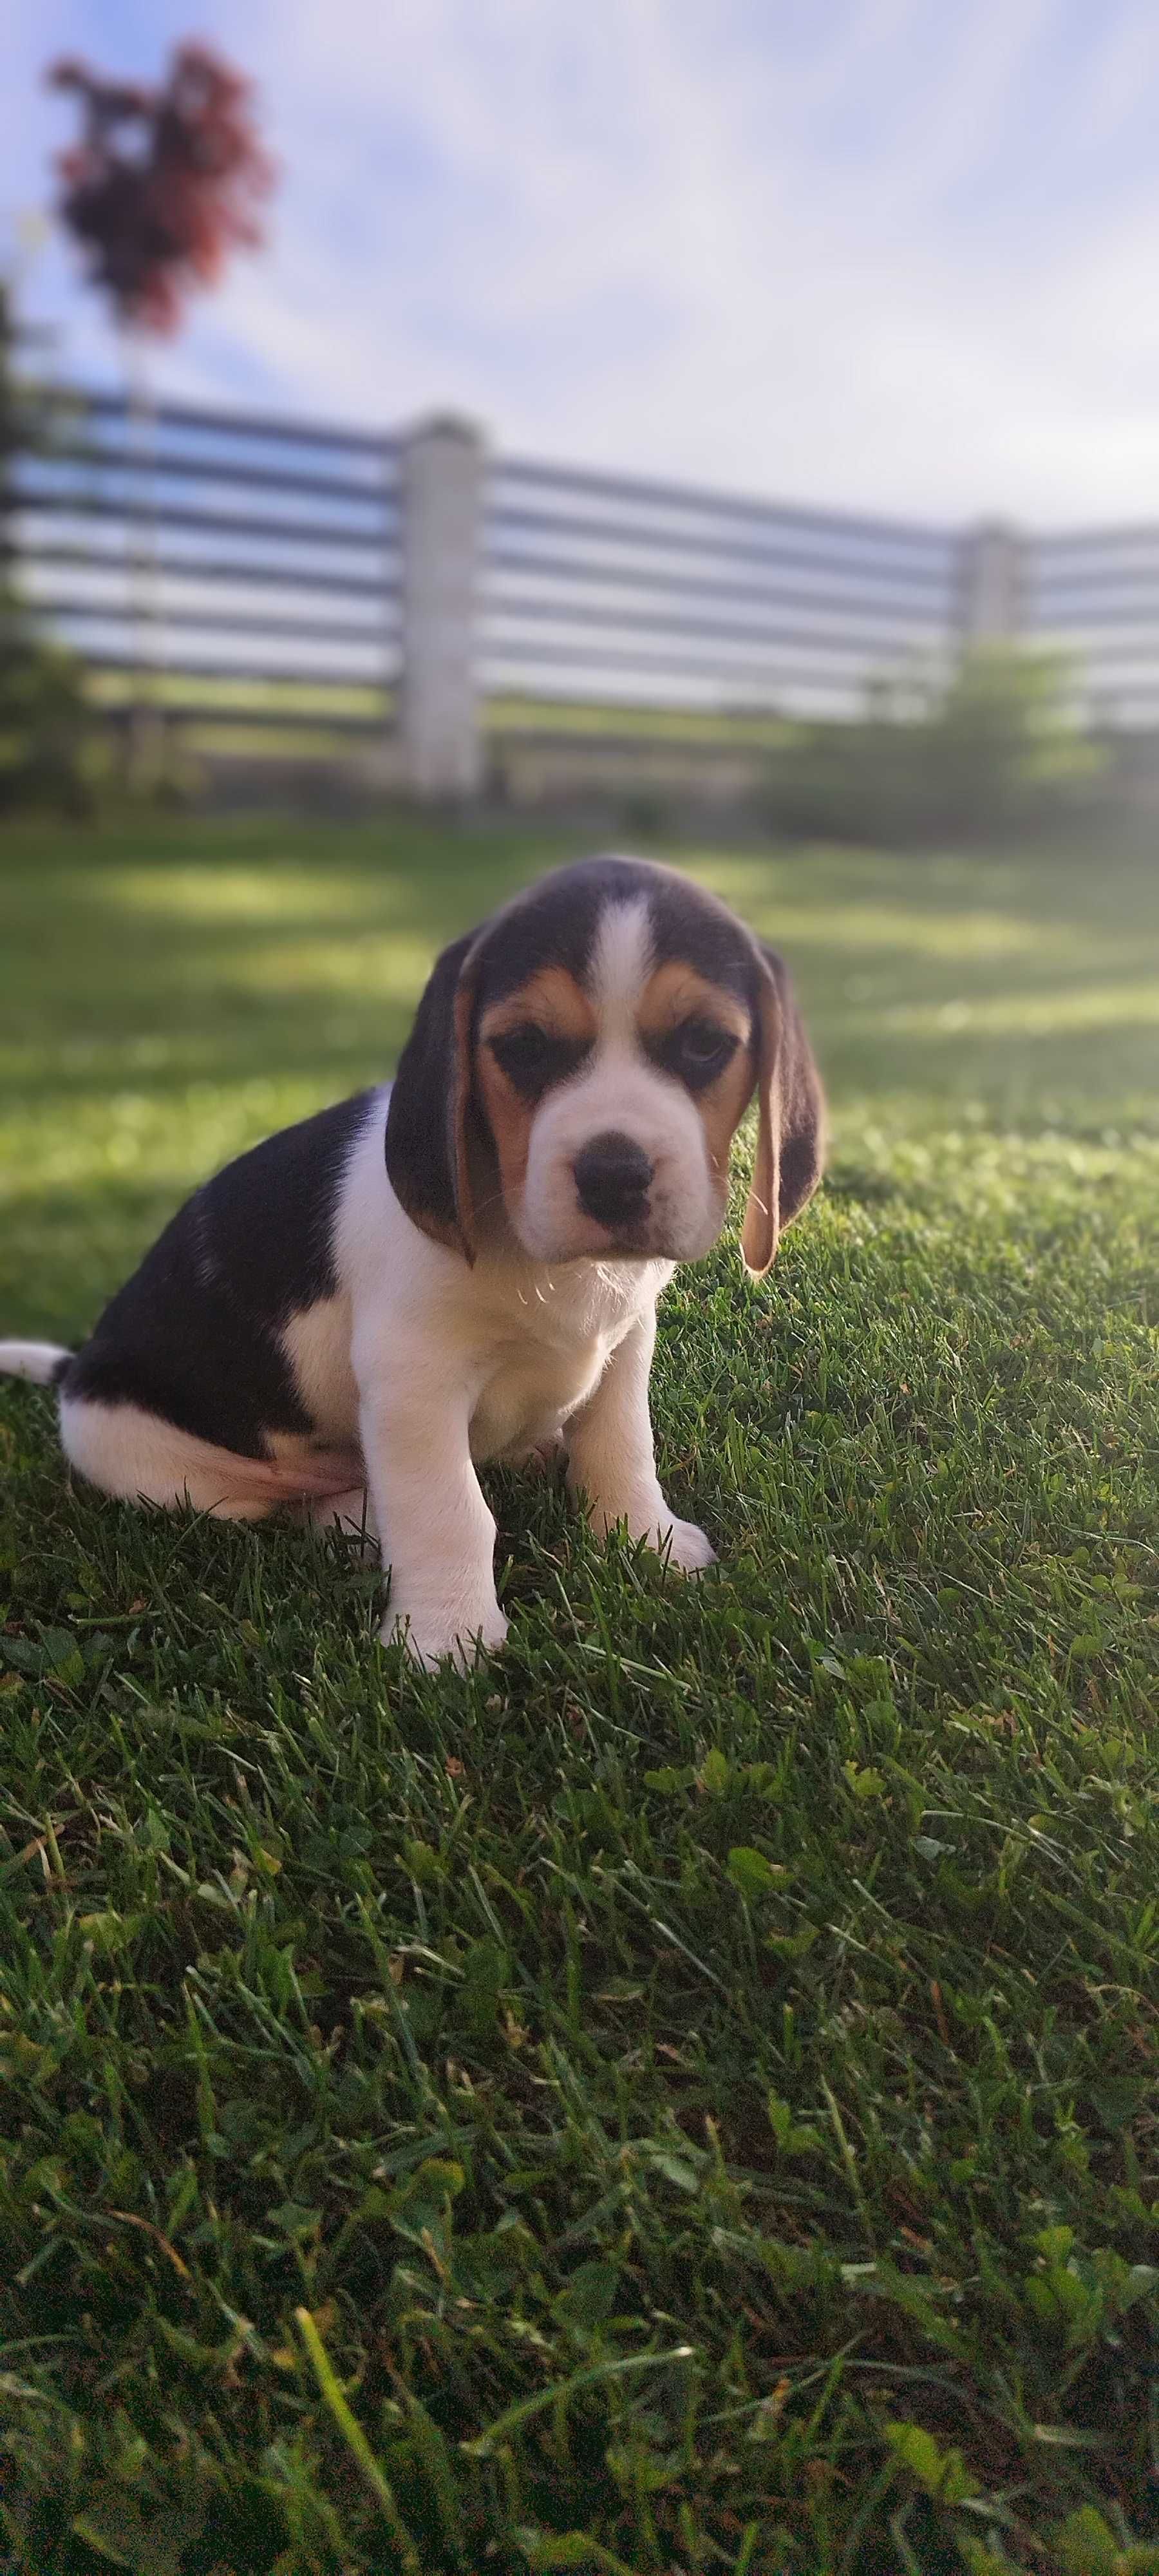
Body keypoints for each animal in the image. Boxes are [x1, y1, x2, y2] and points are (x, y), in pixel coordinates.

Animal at [0, 860, 819, 1669]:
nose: (613, 1174)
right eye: (524, 1045)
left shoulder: (626, 1341)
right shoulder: (413, 1383)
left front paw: (646, 1540)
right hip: (148, 1458)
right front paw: (444, 1636)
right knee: (282, 1504)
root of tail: (78, 1367)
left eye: (705, 1043)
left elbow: (620, 1444)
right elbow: (448, 1510)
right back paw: (356, 1519)